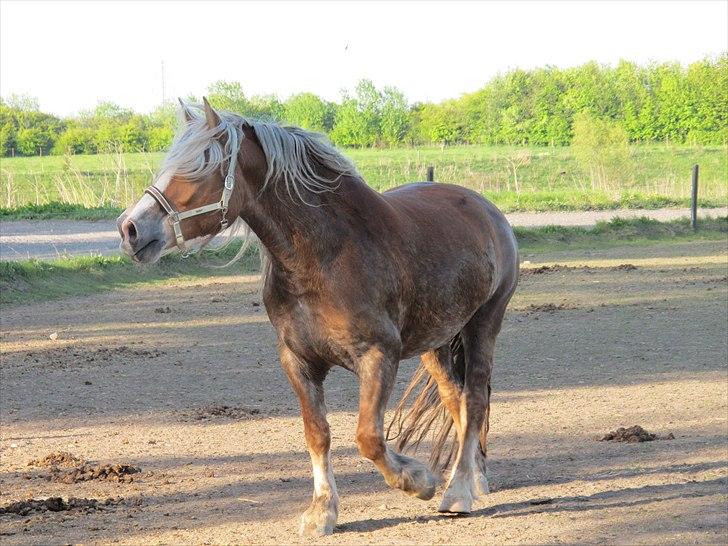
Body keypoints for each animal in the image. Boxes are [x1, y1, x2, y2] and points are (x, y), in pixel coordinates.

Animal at [118, 99, 516, 536]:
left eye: (201, 167)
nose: (131, 229)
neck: (324, 257)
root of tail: (486, 209)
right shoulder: (298, 361)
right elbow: (317, 434)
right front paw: (323, 511)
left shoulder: (379, 355)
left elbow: (368, 437)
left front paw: (419, 481)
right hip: (436, 342)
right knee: (455, 400)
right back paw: (474, 478)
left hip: (483, 325)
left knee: (475, 400)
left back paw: (458, 491)